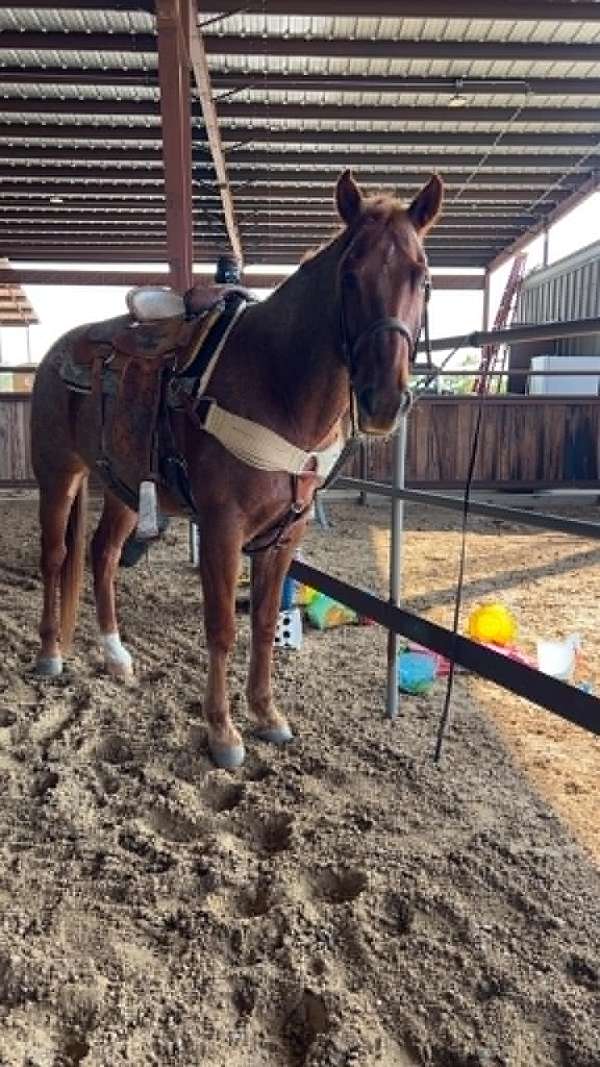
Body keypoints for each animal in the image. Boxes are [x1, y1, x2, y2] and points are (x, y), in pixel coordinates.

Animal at [30, 169, 443, 769]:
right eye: (348, 275)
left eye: (423, 277)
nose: (382, 401)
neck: (276, 384)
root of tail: (62, 350)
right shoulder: (223, 528)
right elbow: (223, 627)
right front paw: (223, 731)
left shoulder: (286, 534)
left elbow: (266, 624)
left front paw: (267, 715)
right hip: (57, 476)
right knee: (56, 557)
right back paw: (49, 654)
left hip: (126, 489)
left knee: (102, 555)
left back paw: (116, 655)